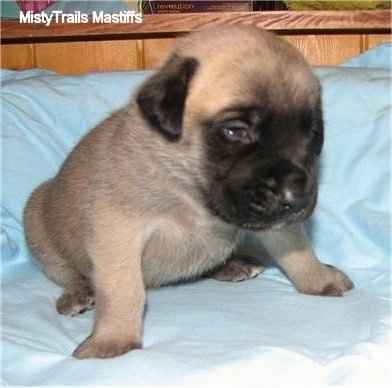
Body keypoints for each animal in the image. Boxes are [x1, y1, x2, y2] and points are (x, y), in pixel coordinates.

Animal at [24, 23, 356, 358]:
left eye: (311, 132)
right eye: (237, 131)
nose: (296, 197)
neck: (193, 192)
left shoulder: (276, 222)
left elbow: (297, 250)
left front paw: (318, 279)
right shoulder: (118, 231)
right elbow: (123, 289)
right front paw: (113, 337)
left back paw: (231, 263)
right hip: (37, 221)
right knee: (69, 272)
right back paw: (77, 293)